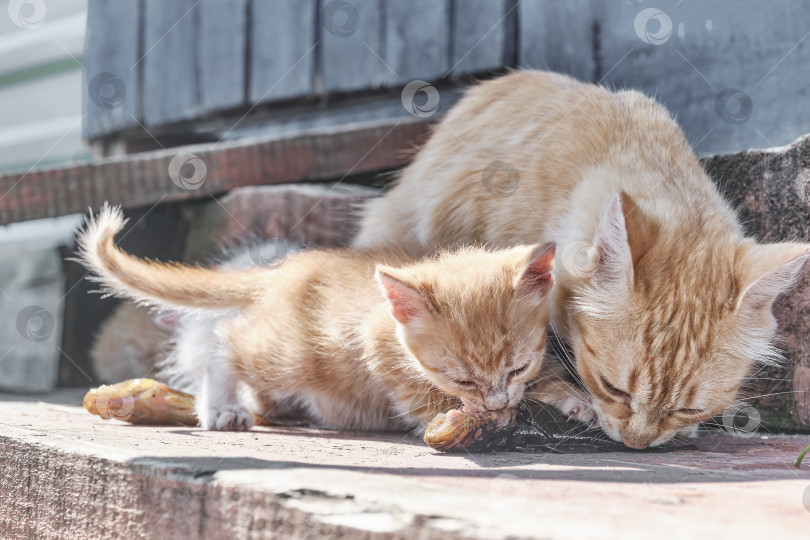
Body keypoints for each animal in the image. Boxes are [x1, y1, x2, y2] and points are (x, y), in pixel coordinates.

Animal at [80, 205, 560, 432]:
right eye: (459, 378)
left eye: (518, 367)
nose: (495, 404)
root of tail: (283, 269)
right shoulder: (374, 339)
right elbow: (415, 395)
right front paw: (459, 420)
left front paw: (563, 399)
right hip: (293, 355)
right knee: (225, 343)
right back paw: (223, 405)